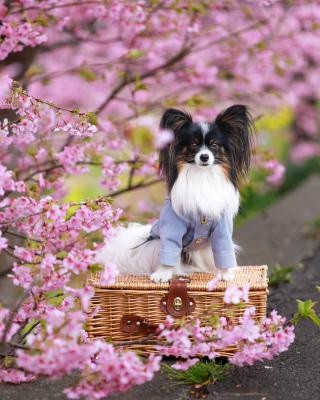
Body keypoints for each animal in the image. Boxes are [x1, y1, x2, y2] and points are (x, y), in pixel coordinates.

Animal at [95, 104, 255, 282]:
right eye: (193, 144)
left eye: (214, 145)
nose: (204, 157)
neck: (202, 176)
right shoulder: (172, 227)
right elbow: (170, 248)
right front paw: (163, 274)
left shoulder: (222, 230)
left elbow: (223, 250)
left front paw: (226, 274)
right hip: (156, 244)